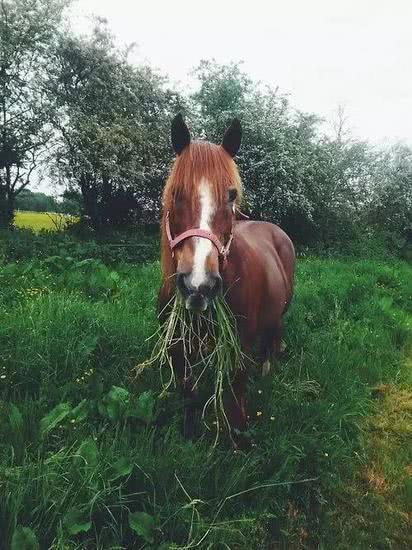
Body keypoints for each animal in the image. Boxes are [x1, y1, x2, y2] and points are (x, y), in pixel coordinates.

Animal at [156, 114, 294, 442]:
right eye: (176, 193)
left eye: (231, 195)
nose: (199, 285)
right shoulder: (178, 350)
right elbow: (188, 394)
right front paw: (189, 432)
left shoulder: (238, 345)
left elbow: (235, 392)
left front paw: (239, 438)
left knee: (273, 335)